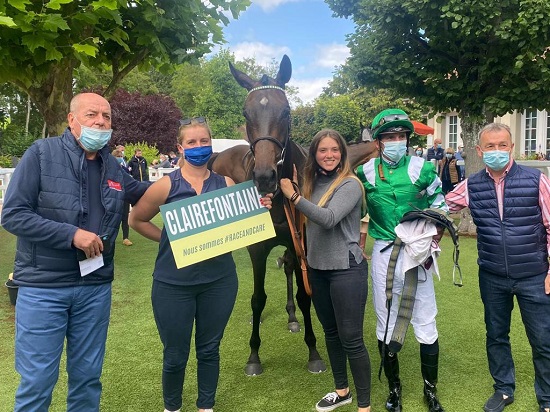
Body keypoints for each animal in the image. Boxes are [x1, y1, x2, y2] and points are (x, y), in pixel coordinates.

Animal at [213, 54, 328, 376]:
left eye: (287, 111)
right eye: (245, 112)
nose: (265, 177)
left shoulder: (297, 241)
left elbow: (303, 294)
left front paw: (313, 351)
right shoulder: (257, 248)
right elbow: (257, 298)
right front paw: (253, 355)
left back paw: (291, 318)